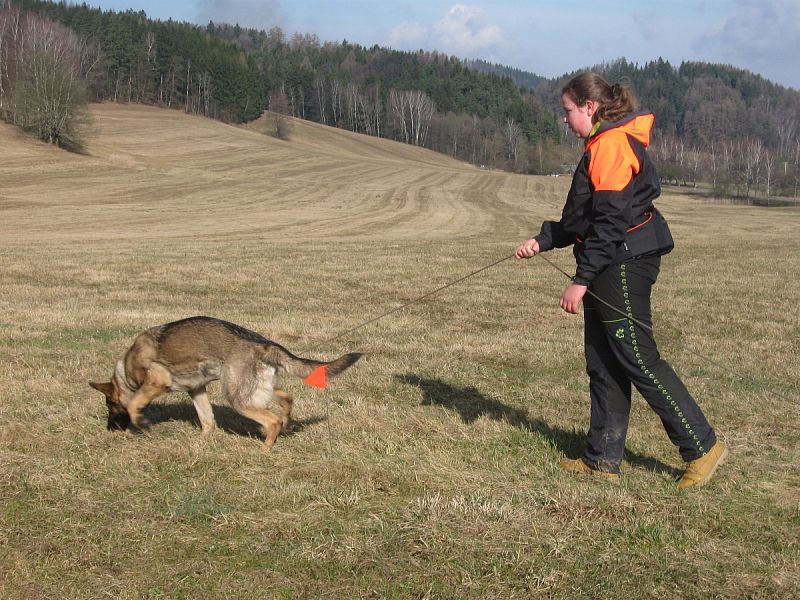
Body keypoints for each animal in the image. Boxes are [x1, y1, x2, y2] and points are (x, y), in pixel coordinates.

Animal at [89, 316, 360, 448]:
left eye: (110, 407)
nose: (109, 429)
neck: (126, 367)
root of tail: (265, 344)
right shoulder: (197, 390)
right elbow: (207, 420)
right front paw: (201, 443)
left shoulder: (157, 380)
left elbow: (135, 404)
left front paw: (143, 424)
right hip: (251, 389)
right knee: (286, 398)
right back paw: (287, 425)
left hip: (237, 397)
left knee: (271, 420)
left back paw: (265, 449)